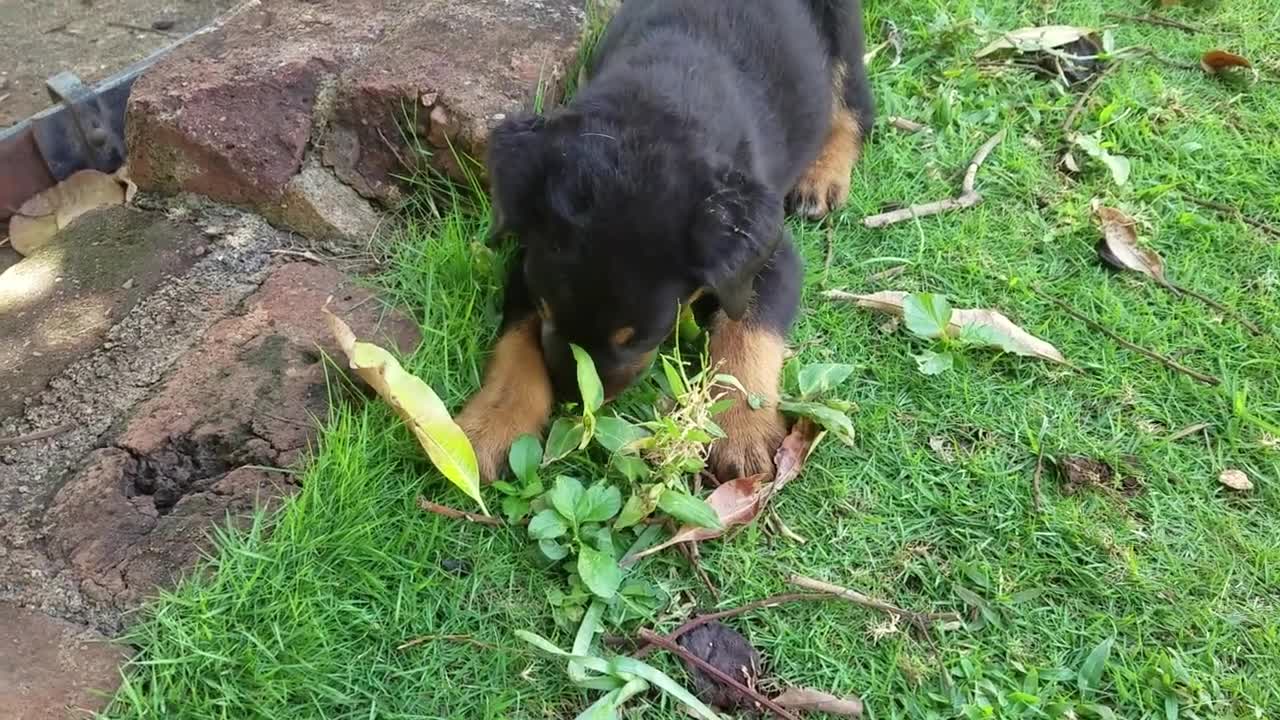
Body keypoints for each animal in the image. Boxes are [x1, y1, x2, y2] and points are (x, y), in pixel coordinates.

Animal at [458, 1, 870, 481]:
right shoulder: (525, 257)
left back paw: (823, 175)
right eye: (547, 311)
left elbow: (748, 332)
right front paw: (490, 424)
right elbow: (517, 340)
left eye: (636, 339)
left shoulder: (771, 256)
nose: (571, 398)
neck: (656, 107)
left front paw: (742, 431)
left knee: (855, 102)